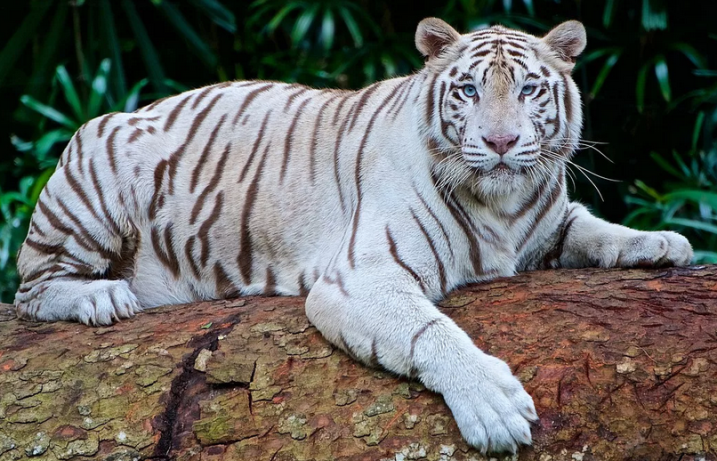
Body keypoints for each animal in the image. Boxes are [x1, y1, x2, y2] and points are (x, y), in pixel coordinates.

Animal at [14, 18, 693, 453]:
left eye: (528, 88)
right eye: (469, 89)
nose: (500, 142)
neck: (503, 205)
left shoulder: (548, 224)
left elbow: (594, 227)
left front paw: (664, 241)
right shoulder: (363, 276)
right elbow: (431, 331)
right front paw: (494, 407)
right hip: (94, 172)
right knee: (31, 289)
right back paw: (101, 297)